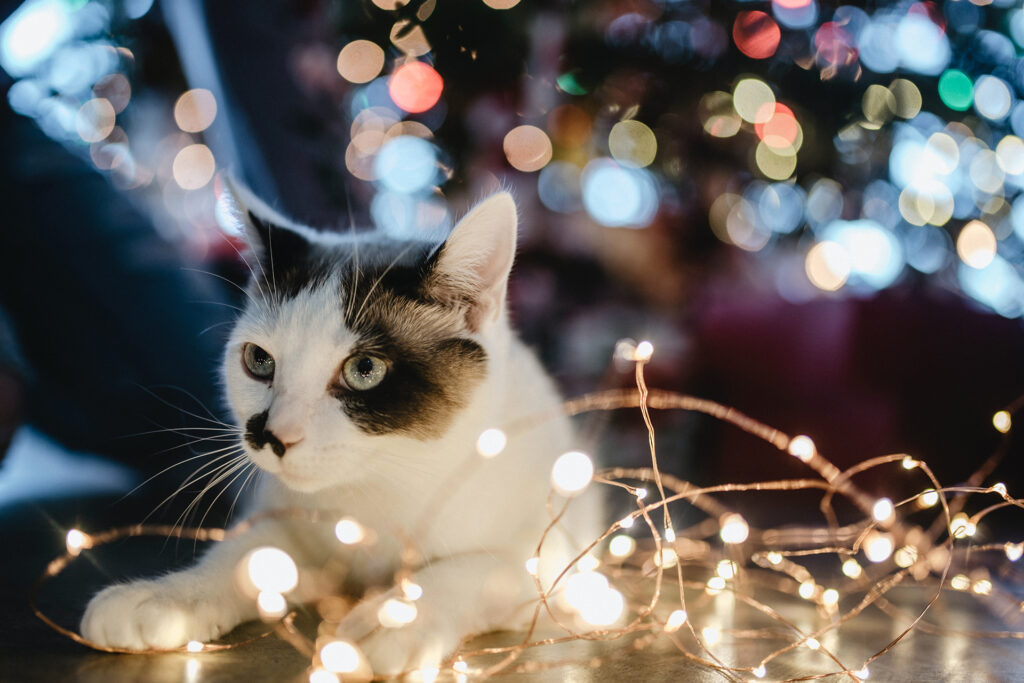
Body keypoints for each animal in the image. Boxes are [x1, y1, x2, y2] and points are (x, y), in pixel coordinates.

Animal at [83, 188, 602, 679]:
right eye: (259, 361)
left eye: (364, 369)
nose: (273, 435)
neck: (380, 489)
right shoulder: (286, 517)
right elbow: (247, 557)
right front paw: (167, 597)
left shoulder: (551, 559)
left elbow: (479, 568)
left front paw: (393, 618)